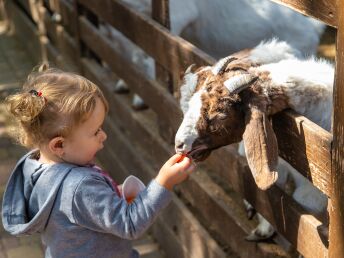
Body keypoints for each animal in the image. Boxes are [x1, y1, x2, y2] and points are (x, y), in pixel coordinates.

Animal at [176, 39, 332, 241]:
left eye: (220, 115)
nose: (179, 144)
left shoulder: (316, 192)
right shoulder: (279, 164)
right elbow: (272, 194)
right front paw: (264, 229)